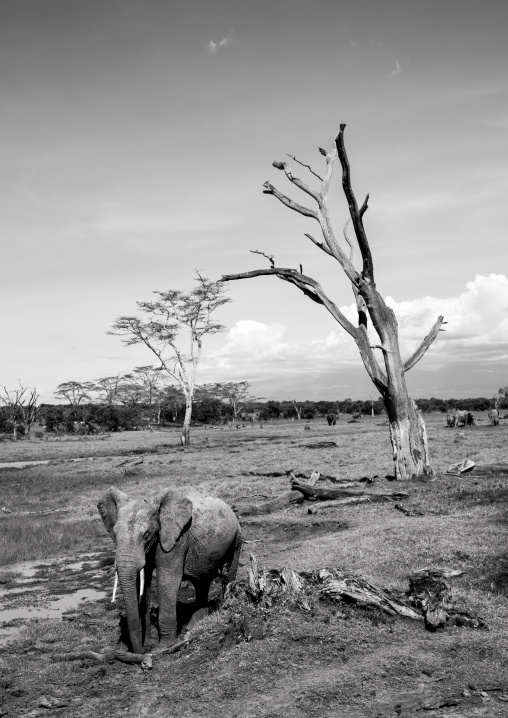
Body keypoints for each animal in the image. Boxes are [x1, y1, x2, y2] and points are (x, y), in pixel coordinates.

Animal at [97, 486, 242, 654]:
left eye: (146, 536)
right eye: (114, 535)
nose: (141, 653)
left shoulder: (176, 540)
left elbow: (167, 581)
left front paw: (164, 647)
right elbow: (142, 584)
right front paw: (148, 642)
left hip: (237, 537)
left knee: (228, 574)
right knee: (201, 581)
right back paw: (194, 626)